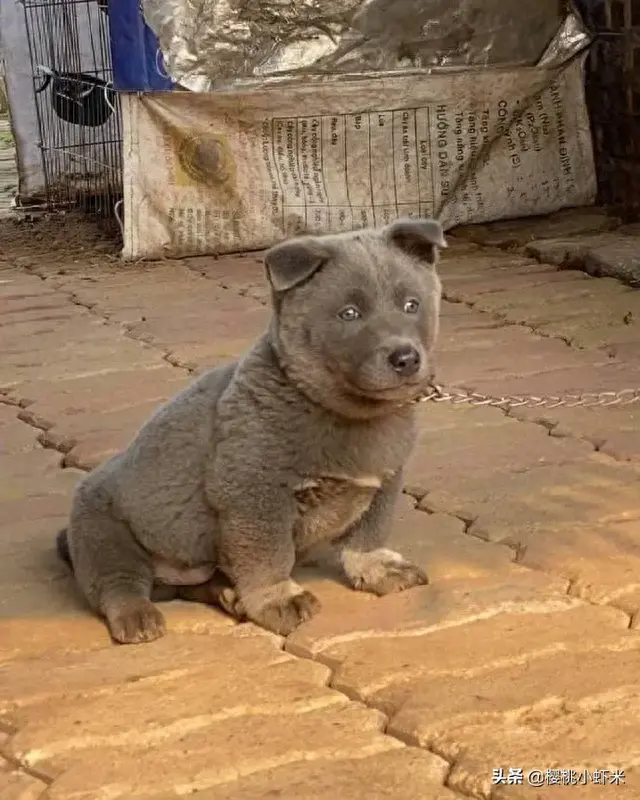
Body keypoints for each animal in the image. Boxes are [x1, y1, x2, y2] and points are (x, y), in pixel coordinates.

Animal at [56, 217, 444, 644]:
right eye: (349, 313)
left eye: (412, 305)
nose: (405, 358)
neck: (345, 413)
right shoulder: (253, 493)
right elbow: (267, 556)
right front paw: (278, 600)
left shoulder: (385, 479)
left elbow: (368, 534)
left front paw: (379, 567)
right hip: (102, 528)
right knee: (118, 582)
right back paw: (138, 618)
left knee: (194, 583)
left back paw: (229, 596)